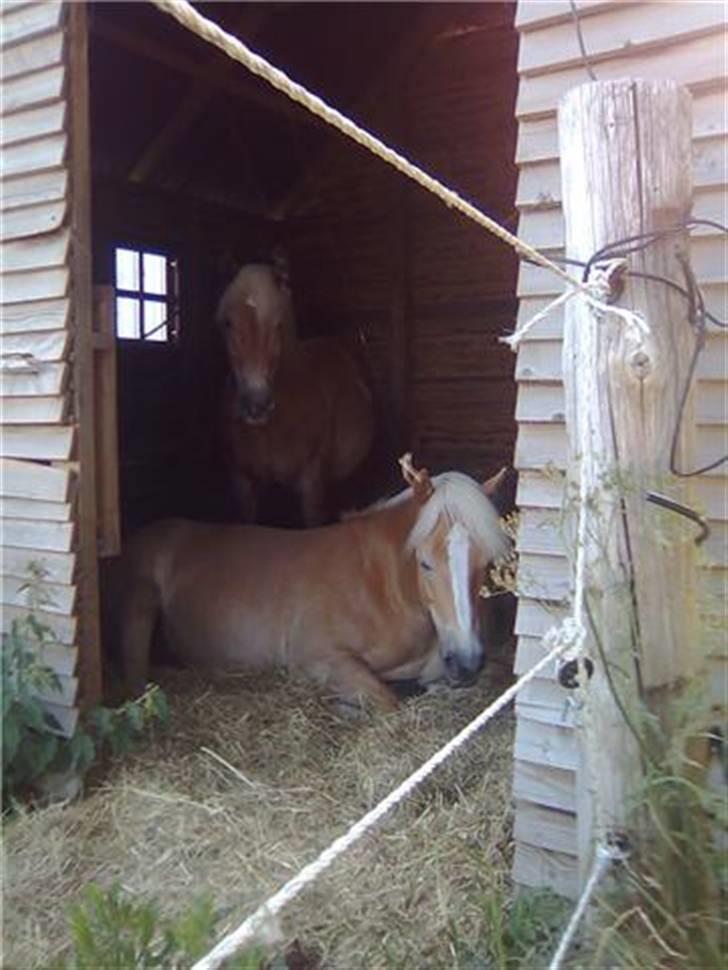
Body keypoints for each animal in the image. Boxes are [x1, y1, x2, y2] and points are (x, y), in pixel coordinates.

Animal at [119, 454, 510, 712]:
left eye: (486, 563)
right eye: (425, 563)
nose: (466, 661)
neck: (379, 588)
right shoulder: (320, 660)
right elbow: (388, 701)